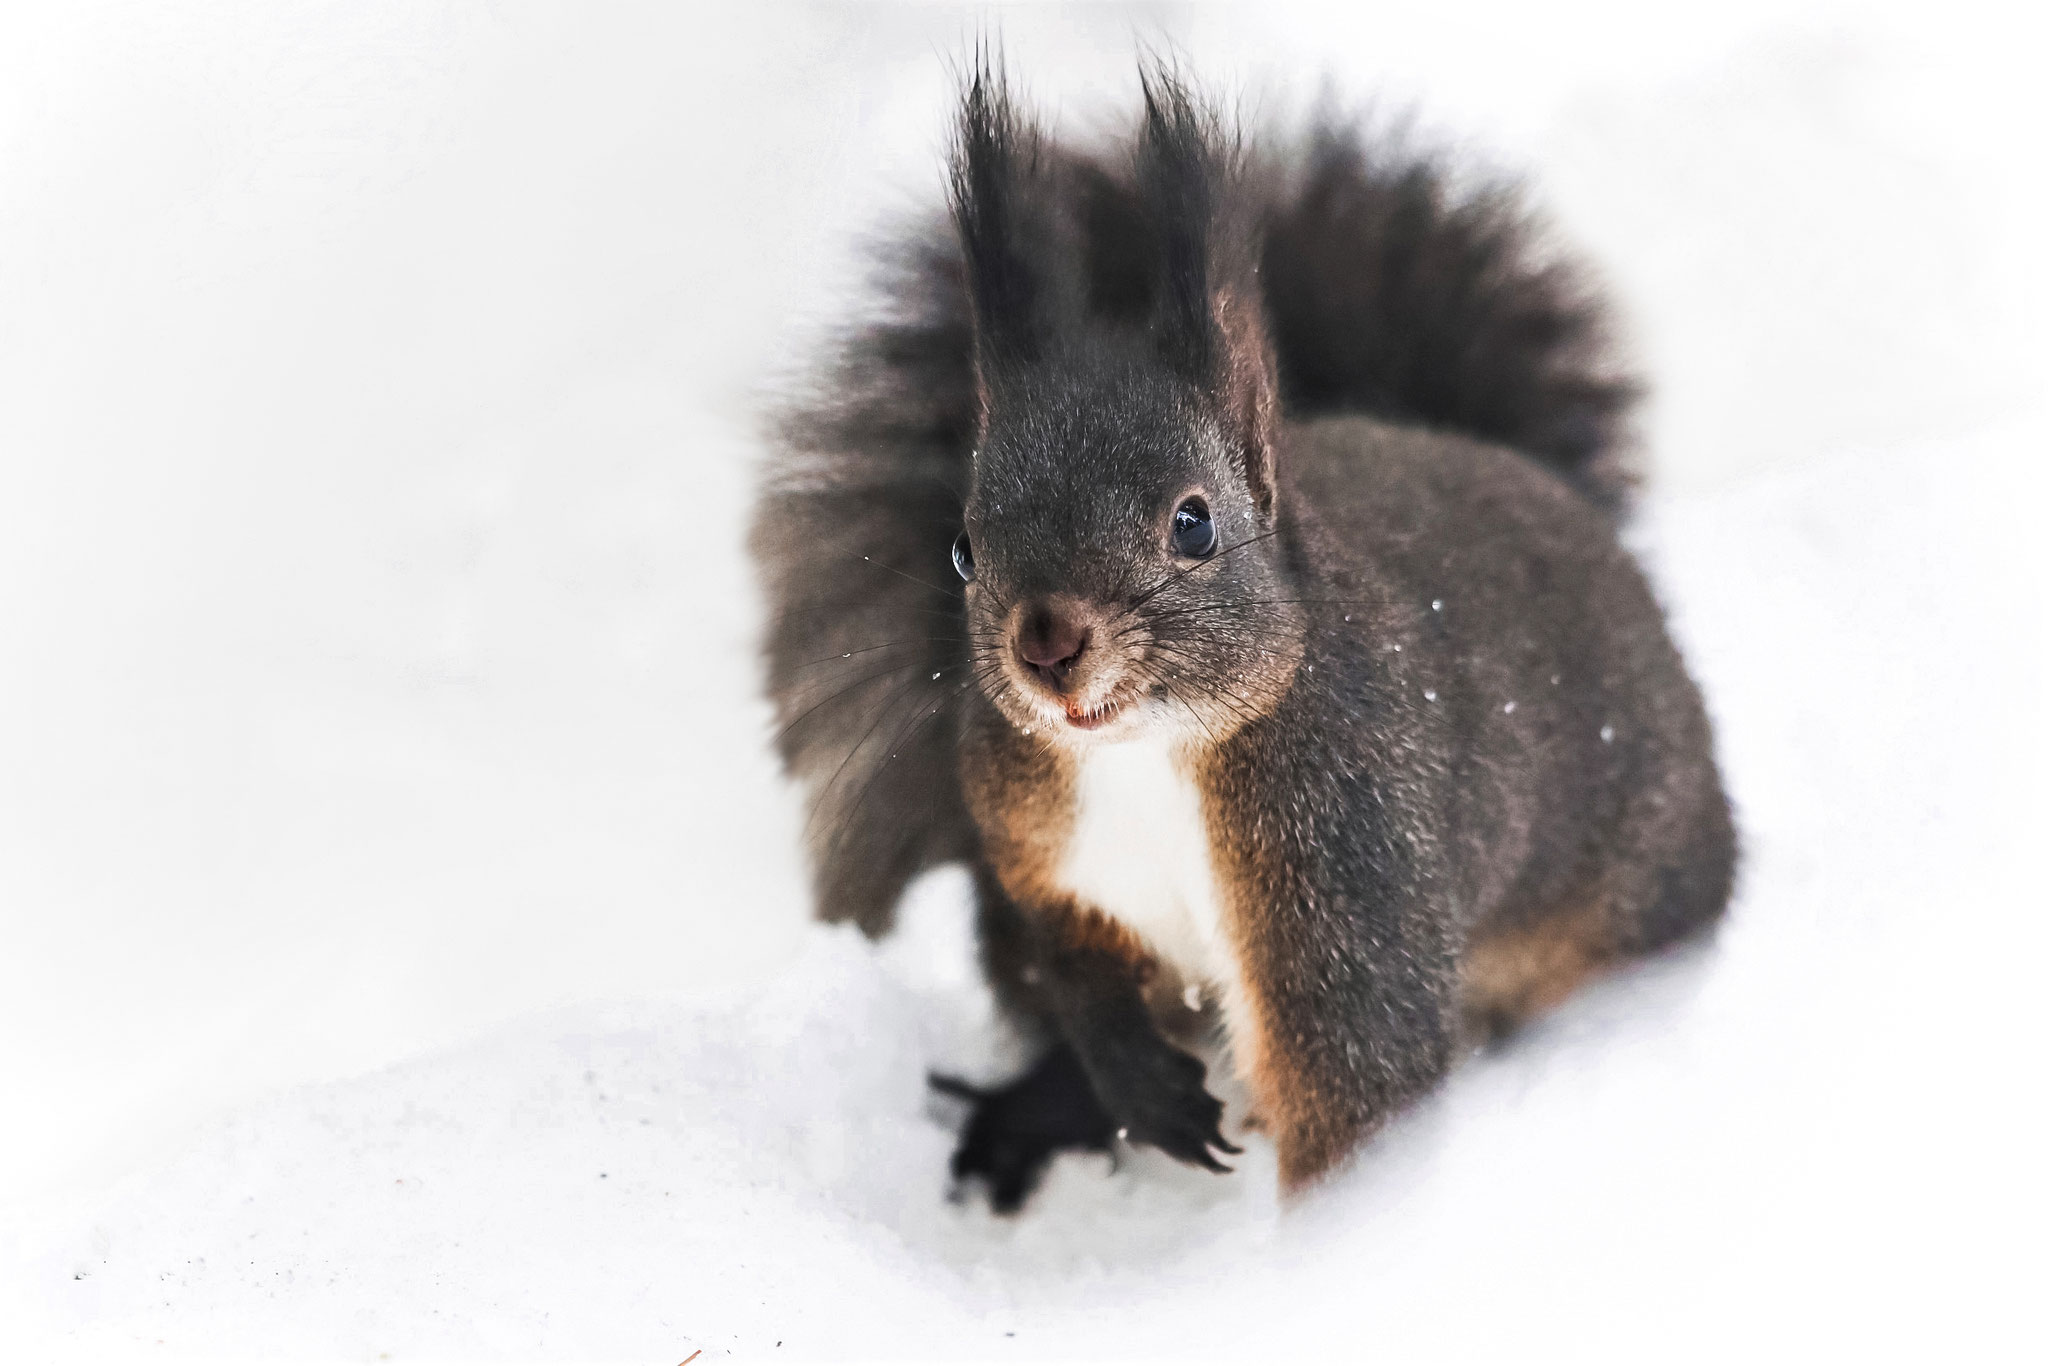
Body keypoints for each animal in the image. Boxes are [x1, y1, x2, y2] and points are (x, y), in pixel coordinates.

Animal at [752, 59, 1735, 1212]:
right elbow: (1076, 968)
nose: (1046, 643)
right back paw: (1032, 1119)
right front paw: (1143, 1089)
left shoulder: (1349, 868)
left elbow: (1356, 1086)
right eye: (961, 547)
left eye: (1193, 522)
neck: (1144, 757)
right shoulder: (1038, 852)